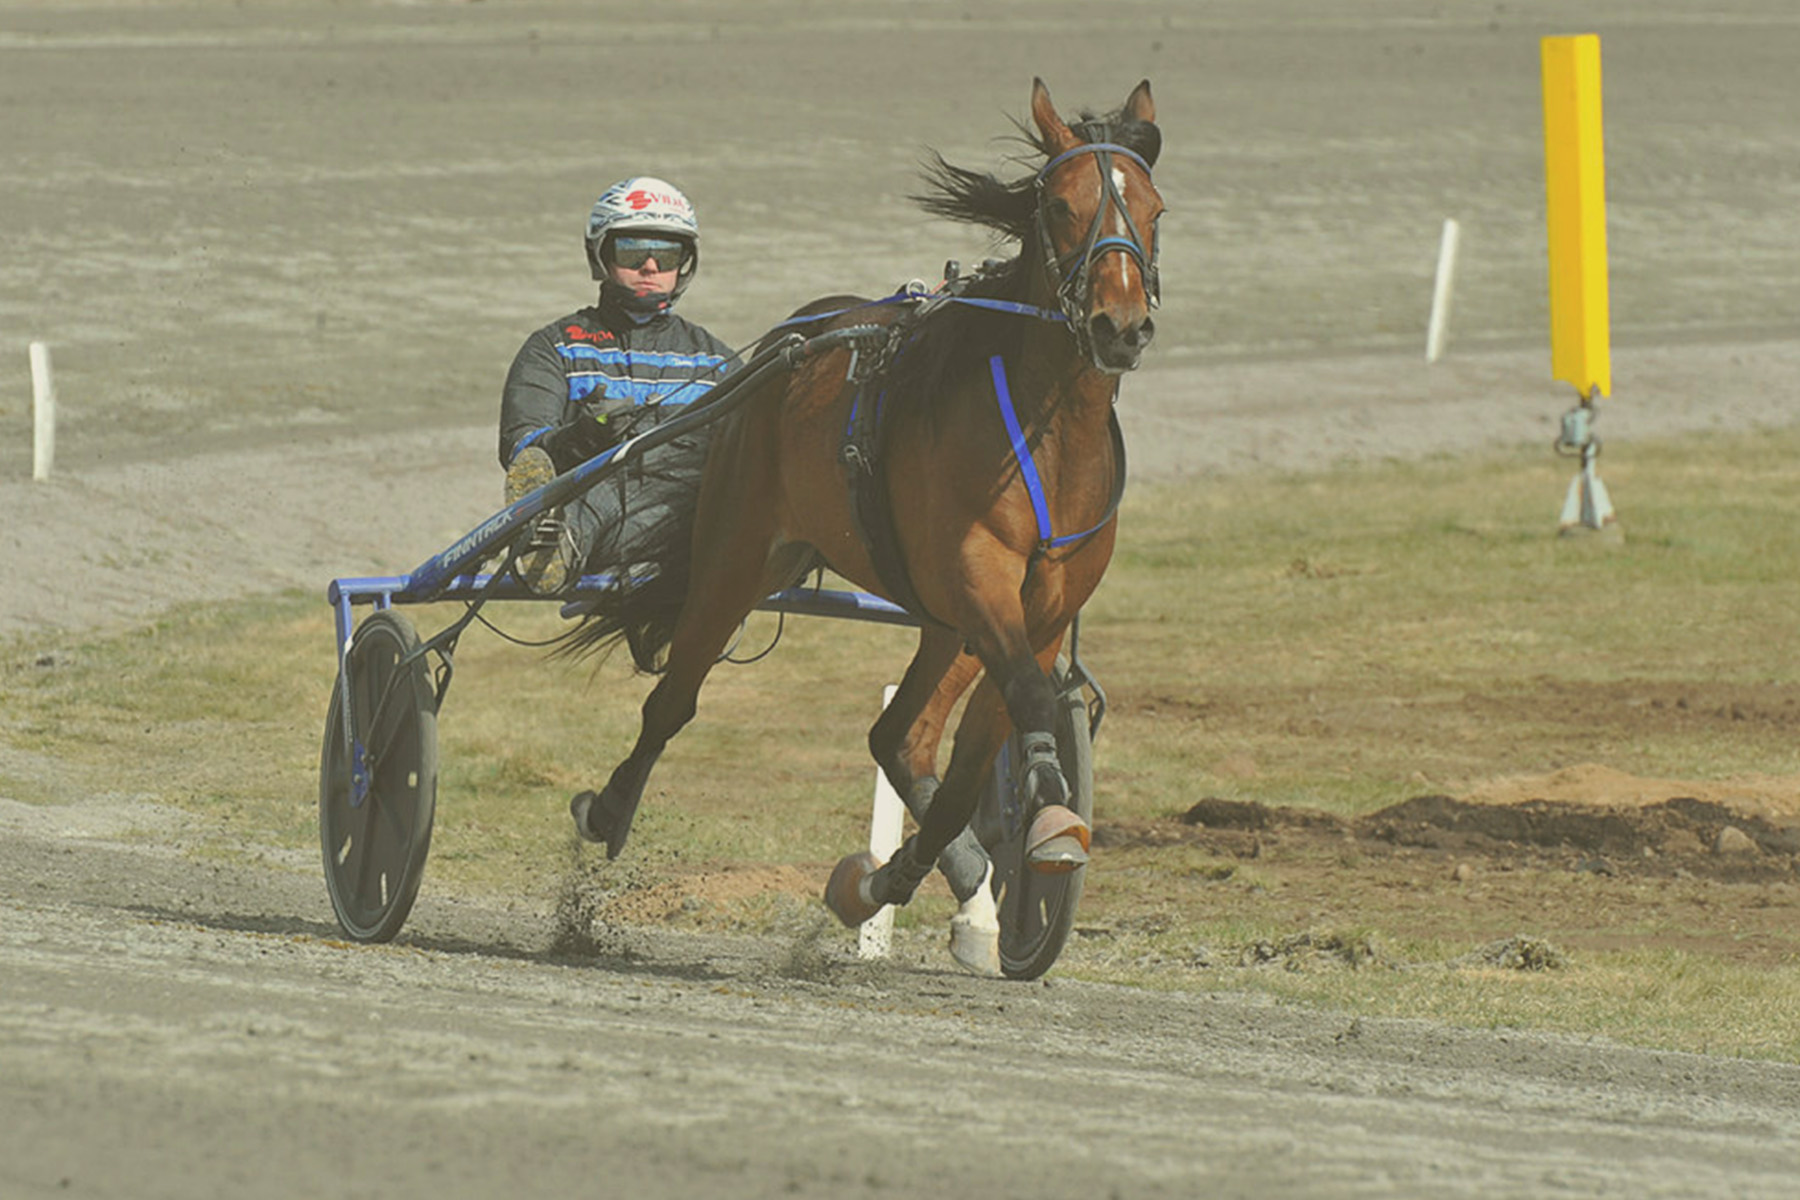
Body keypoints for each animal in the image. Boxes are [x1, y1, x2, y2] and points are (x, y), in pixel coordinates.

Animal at [558, 77, 1166, 978]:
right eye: (1061, 204)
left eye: (1155, 208)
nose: (1119, 325)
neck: (1047, 432)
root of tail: (797, 336)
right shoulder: (979, 575)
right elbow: (1025, 696)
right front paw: (1051, 817)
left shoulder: (1045, 608)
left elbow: (974, 762)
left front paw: (906, 881)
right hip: (741, 554)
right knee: (672, 701)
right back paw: (609, 810)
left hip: (942, 620)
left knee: (899, 737)